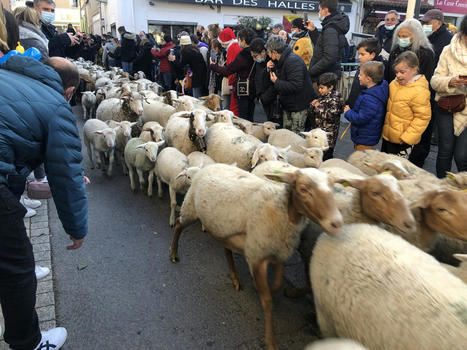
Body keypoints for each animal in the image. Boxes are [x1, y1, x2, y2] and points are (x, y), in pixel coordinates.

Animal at [170, 164, 342, 350]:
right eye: (303, 189)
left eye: (332, 187)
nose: (337, 223)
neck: (279, 209)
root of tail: (208, 166)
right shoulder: (256, 256)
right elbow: (267, 302)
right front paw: (271, 341)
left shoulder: (278, 253)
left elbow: (278, 284)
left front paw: (264, 287)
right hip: (190, 208)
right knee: (179, 225)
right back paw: (174, 253)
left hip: (224, 228)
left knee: (226, 249)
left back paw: (235, 277)